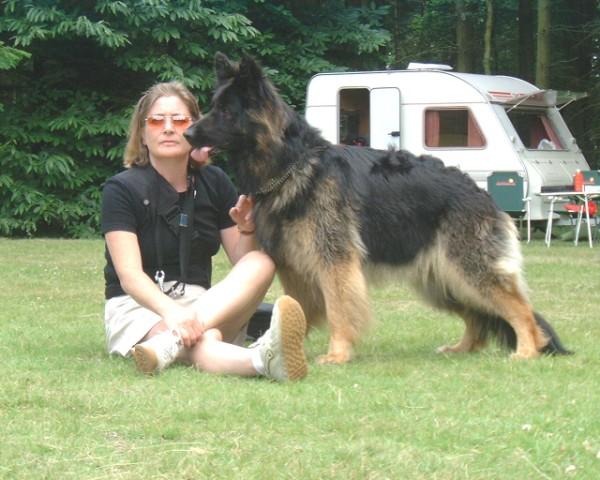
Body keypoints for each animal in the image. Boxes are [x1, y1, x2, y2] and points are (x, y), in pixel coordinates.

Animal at [185, 53, 571, 364]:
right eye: (212, 107)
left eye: (224, 112)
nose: (188, 134)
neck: (292, 164)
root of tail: (483, 194)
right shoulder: (292, 266)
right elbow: (296, 310)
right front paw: (284, 345)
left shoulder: (334, 263)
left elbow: (339, 310)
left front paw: (337, 354)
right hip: (444, 280)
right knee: (478, 316)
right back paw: (463, 349)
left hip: (469, 271)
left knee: (520, 309)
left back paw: (527, 350)